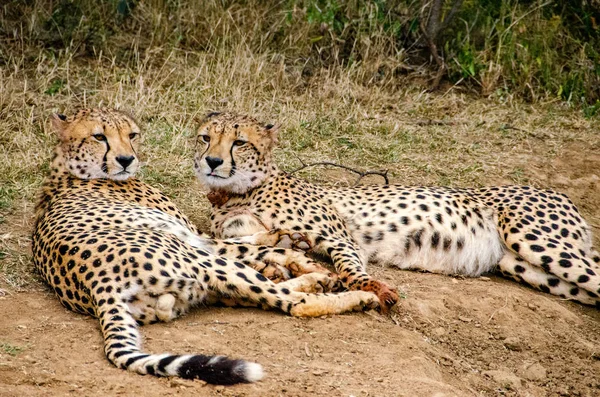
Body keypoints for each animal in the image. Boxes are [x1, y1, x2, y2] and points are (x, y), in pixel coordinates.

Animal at [31, 107, 380, 384]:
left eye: (131, 135)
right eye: (99, 137)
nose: (126, 159)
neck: (67, 173)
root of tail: (98, 287)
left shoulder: (194, 235)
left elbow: (244, 241)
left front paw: (286, 240)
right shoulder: (190, 236)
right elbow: (246, 246)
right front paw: (294, 252)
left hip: (195, 287)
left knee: (264, 293)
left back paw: (314, 280)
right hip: (197, 261)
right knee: (292, 303)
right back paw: (350, 293)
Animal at [192, 113, 600, 308]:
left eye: (239, 142)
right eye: (205, 137)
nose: (212, 161)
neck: (236, 193)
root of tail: (559, 195)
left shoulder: (339, 237)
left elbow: (348, 267)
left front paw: (374, 287)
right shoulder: (235, 229)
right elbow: (250, 238)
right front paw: (286, 244)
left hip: (532, 239)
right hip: (519, 264)